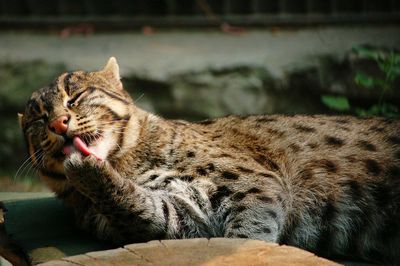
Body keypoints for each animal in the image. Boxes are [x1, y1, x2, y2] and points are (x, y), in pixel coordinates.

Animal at [18, 57, 400, 262]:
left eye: (75, 97)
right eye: (38, 119)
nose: (57, 124)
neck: (127, 162)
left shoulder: (256, 182)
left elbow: (246, 234)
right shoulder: (182, 216)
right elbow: (141, 207)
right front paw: (88, 173)